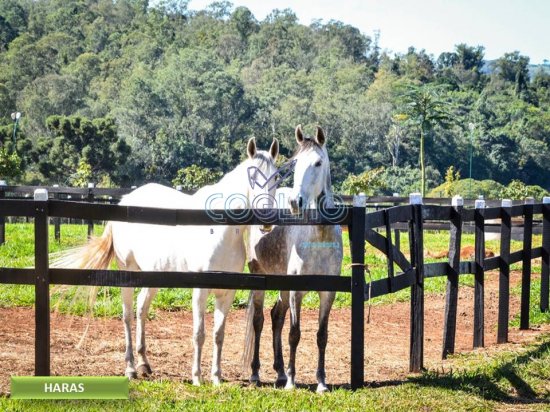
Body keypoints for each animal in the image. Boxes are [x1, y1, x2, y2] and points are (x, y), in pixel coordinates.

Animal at [57, 138, 280, 386]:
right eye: (253, 176)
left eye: (277, 177)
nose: (267, 219)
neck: (221, 231)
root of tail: (125, 202)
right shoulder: (200, 291)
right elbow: (199, 334)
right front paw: (197, 378)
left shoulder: (226, 293)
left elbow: (218, 335)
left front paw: (216, 378)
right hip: (127, 274)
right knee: (126, 315)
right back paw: (130, 368)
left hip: (152, 275)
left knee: (141, 308)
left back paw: (144, 364)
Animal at [247, 125, 344, 392]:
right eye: (295, 164)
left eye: (318, 163)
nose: (294, 202)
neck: (318, 236)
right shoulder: (296, 291)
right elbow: (294, 333)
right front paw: (292, 381)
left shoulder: (329, 292)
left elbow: (322, 335)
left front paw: (321, 382)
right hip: (259, 277)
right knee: (259, 320)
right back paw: (257, 374)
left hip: (281, 282)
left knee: (275, 317)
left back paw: (279, 372)